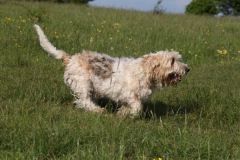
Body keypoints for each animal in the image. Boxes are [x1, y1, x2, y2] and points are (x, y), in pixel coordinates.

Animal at [33, 24, 190, 118]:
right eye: (172, 61)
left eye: (179, 59)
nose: (188, 69)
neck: (144, 72)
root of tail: (71, 58)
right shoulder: (130, 94)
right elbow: (138, 106)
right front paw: (129, 115)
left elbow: (130, 106)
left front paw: (123, 113)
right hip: (83, 84)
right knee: (84, 101)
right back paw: (99, 110)